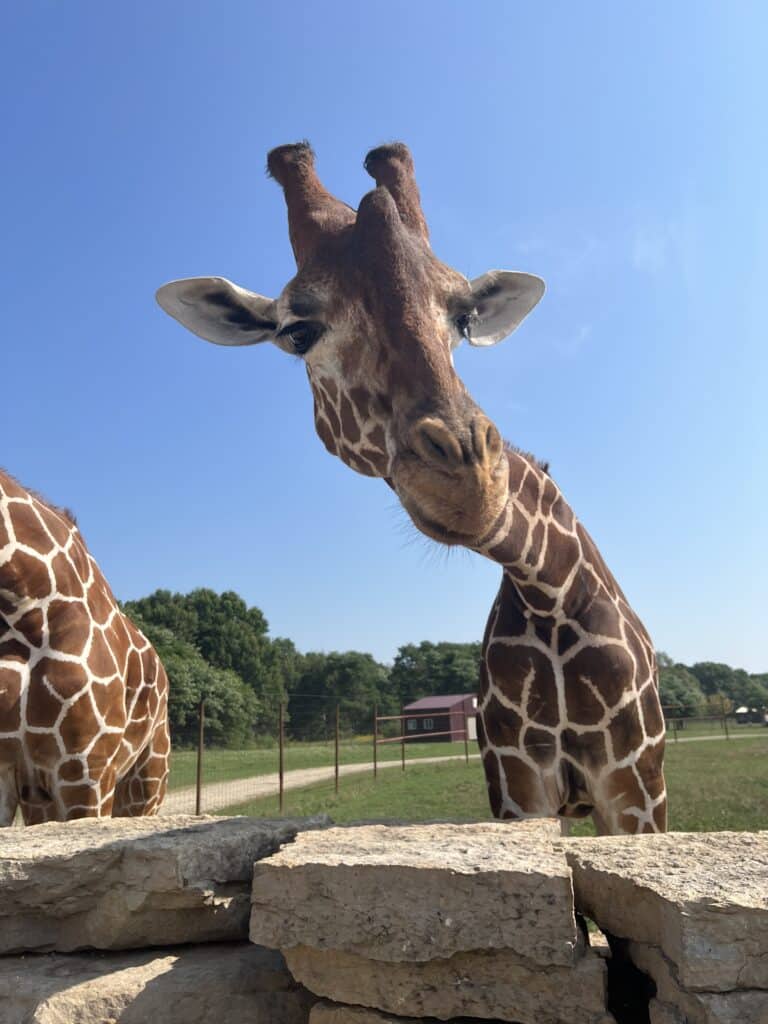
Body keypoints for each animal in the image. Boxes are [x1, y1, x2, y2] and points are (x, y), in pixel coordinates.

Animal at [157, 142, 667, 831]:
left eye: (465, 316)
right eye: (297, 331)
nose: (471, 483)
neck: (551, 595)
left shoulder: (636, 782)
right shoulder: (518, 781)